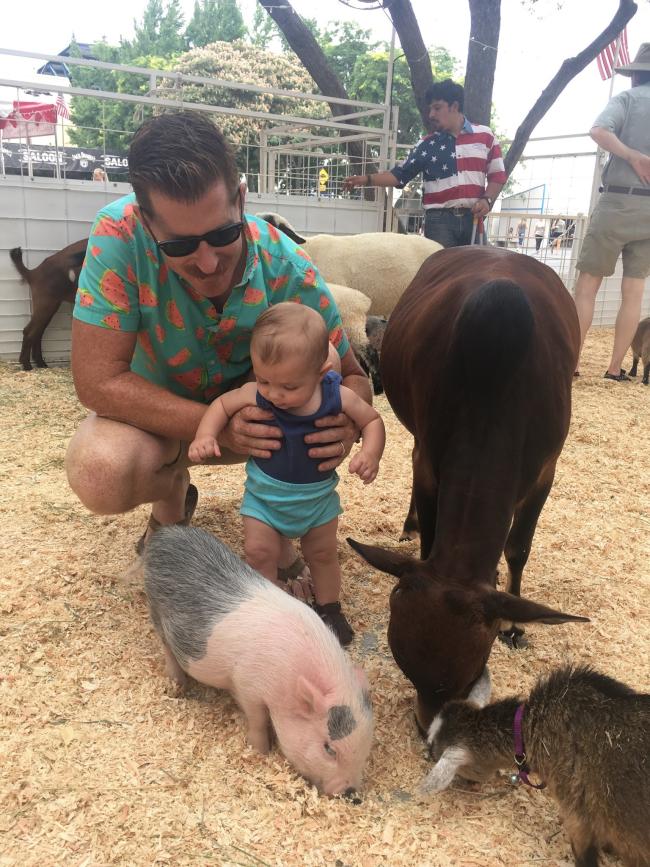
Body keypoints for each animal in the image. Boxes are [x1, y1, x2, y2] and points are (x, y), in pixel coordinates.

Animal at [10, 239, 88, 372]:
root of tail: (33, 273)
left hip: (49, 306)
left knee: (38, 333)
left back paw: (40, 363)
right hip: (45, 304)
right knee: (29, 331)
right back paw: (27, 365)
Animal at [144, 524, 372, 796]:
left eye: (367, 748)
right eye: (329, 748)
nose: (352, 795)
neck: (288, 679)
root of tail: (164, 535)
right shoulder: (246, 685)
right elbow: (258, 719)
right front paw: (260, 751)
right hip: (155, 609)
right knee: (167, 648)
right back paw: (177, 686)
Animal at [350, 244, 588, 732]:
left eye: (475, 667)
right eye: (404, 664)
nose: (428, 727)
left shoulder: (545, 471)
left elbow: (517, 549)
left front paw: (517, 626)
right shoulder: (428, 460)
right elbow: (429, 537)